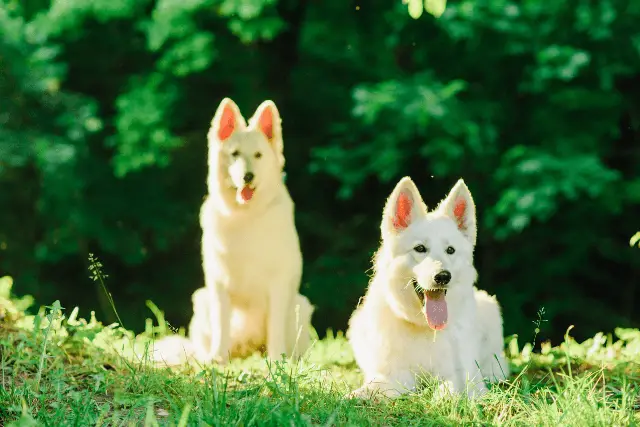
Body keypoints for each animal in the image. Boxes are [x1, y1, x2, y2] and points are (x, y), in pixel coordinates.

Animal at [149, 98, 312, 366]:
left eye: (258, 155)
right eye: (234, 154)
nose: (248, 176)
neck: (245, 217)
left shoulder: (278, 284)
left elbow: (275, 328)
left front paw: (276, 360)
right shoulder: (218, 285)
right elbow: (221, 326)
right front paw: (217, 359)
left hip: (300, 305)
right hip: (202, 300)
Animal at [348, 177, 508, 402]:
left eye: (450, 250)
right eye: (420, 249)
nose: (443, 276)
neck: (424, 327)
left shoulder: (461, 373)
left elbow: (452, 386)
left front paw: (441, 399)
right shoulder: (395, 376)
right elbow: (373, 388)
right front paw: (354, 396)